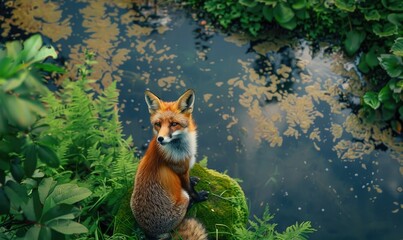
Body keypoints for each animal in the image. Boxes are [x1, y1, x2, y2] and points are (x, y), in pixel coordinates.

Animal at [132, 89, 210, 240]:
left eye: (174, 124)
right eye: (158, 124)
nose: (160, 139)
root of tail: (150, 233)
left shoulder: (185, 171)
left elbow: (190, 181)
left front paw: (193, 179)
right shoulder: (182, 170)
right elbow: (191, 190)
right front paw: (198, 197)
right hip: (183, 199)